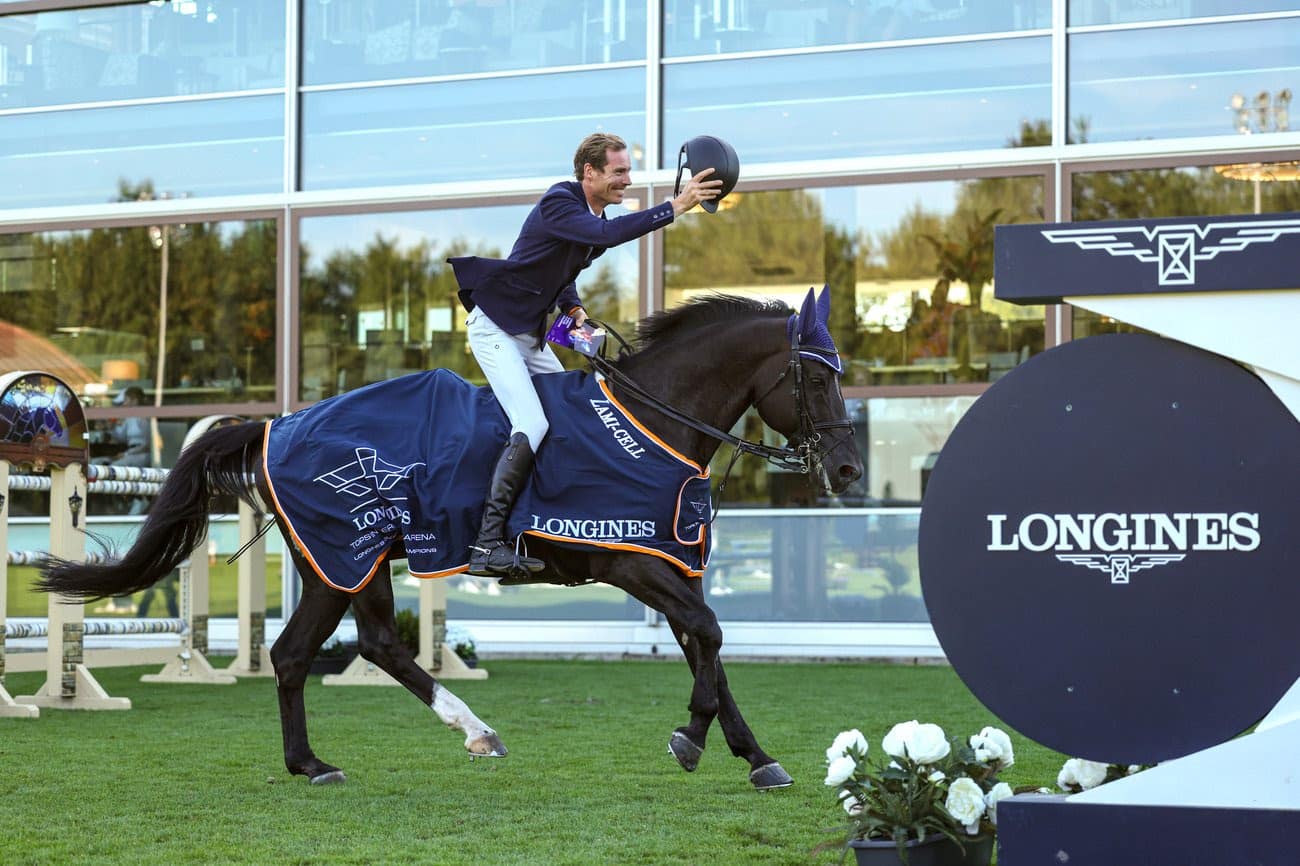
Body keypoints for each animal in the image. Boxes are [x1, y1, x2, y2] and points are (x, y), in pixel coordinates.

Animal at [38, 288, 863, 780]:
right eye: (819, 378)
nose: (850, 469)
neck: (651, 422)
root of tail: (278, 424)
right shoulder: (626, 561)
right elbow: (709, 634)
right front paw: (694, 739)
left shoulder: (668, 562)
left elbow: (707, 648)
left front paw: (754, 756)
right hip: (350, 554)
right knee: (352, 647)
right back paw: (465, 731)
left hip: (339, 562)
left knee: (315, 651)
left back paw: (315, 762)